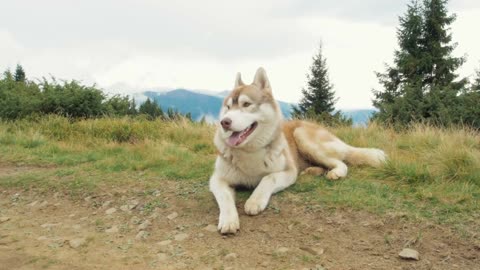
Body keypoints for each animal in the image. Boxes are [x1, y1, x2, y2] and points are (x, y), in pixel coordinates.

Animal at [210, 67, 386, 234]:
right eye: (227, 107)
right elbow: (225, 198)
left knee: (340, 162)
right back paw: (312, 171)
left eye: (246, 104)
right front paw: (228, 220)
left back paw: (335, 172)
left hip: (302, 136)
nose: (224, 122)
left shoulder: (288, 172)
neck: (249, 152)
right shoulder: (217, 179)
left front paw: (255, 200)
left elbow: (268, 178)